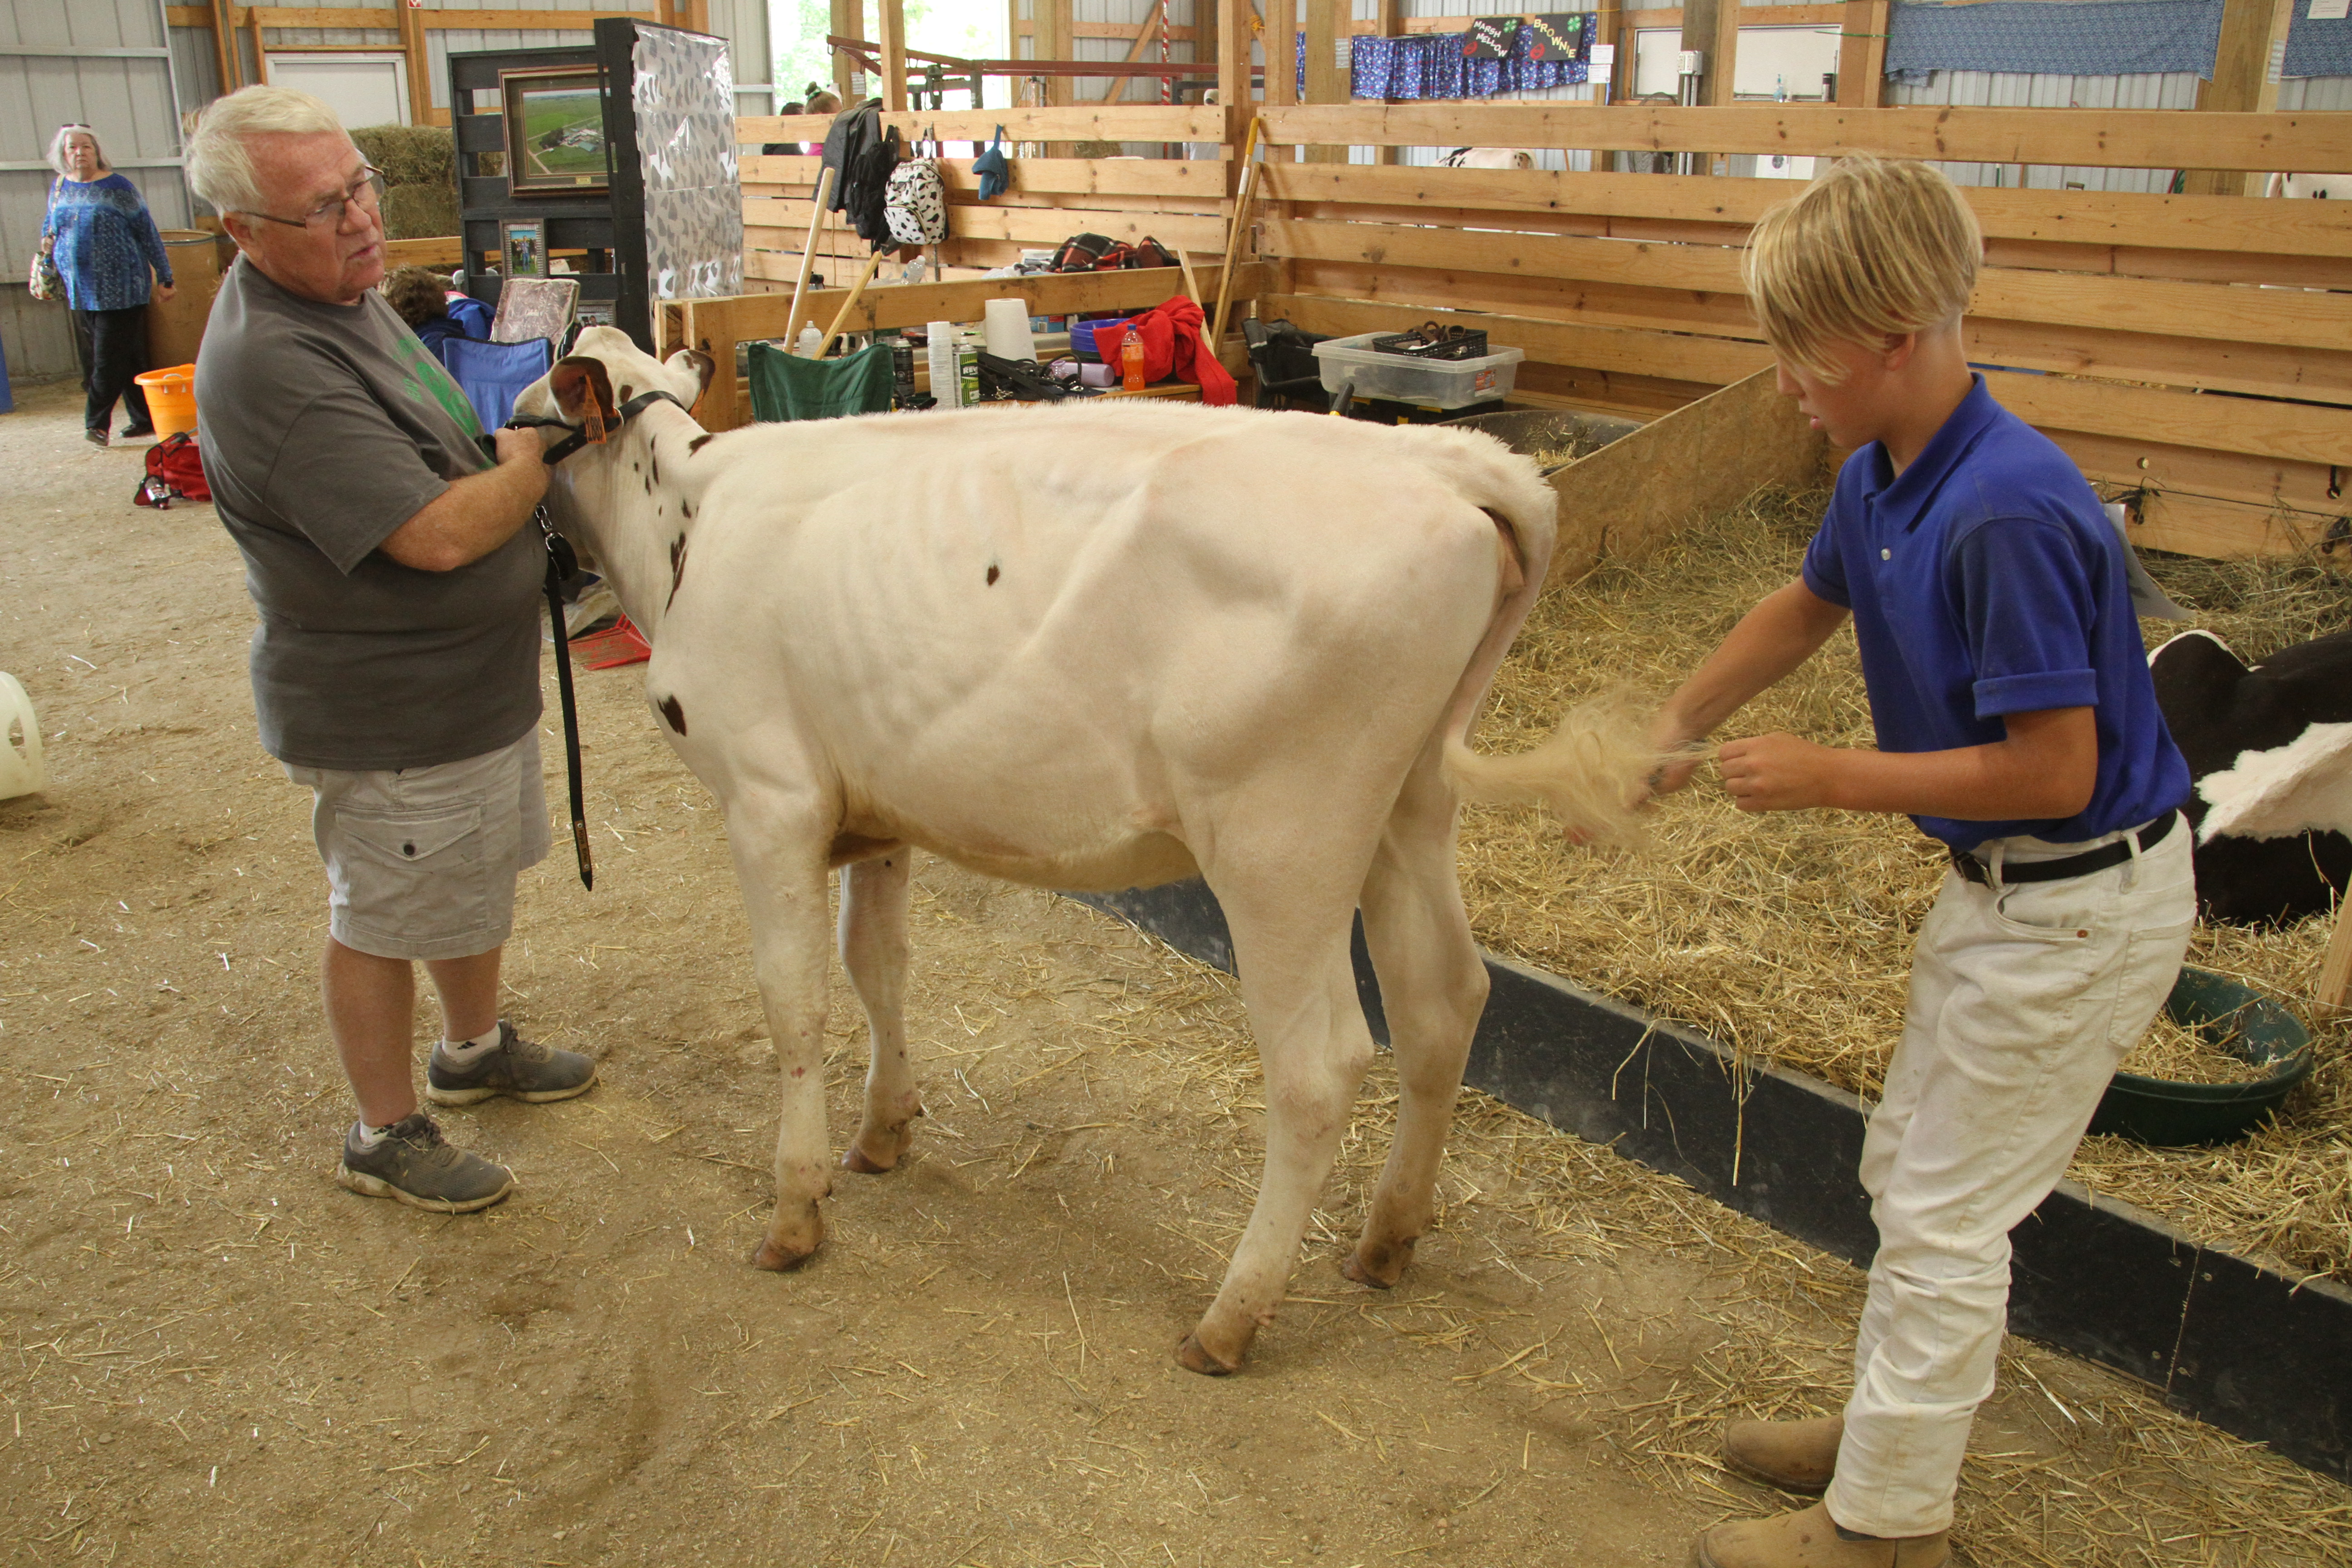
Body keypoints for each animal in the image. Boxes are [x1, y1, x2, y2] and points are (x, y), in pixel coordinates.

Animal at [514, 328, 1651, 1374]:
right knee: (1442, 1002)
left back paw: (1229, 1319)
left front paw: (795, 1212)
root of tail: (1441, 459)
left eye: (520, 417)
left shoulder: (769, 799)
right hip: (1408, 811)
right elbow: (876, 967)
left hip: (1280, 843)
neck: (687, 515)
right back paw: (1386, 1240)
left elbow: (793, 1000)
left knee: (1320, 1066)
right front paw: (883, 1132)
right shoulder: (876, 808)